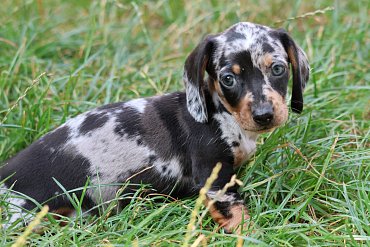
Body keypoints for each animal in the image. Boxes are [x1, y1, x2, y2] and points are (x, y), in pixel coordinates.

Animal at [0, 22, 310, 233]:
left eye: (278, 69)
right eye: (228, 79)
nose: (264, 115)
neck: (223, 115)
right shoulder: (215, 180)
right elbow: (238, 216)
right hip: (26, 215)